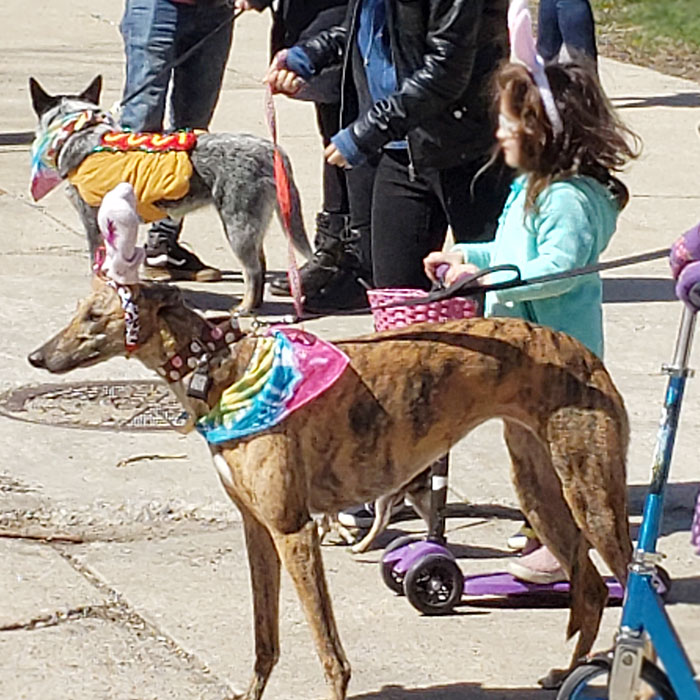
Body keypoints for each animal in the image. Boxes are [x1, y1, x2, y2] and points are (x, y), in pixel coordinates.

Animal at [28, 74, 312, 312]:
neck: (79, 131)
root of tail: (271, 149)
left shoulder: (93, 223)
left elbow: (97, 266)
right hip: (250, 225)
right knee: (260, 265)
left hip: (238, 226)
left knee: (253, 270)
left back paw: (245, 307)